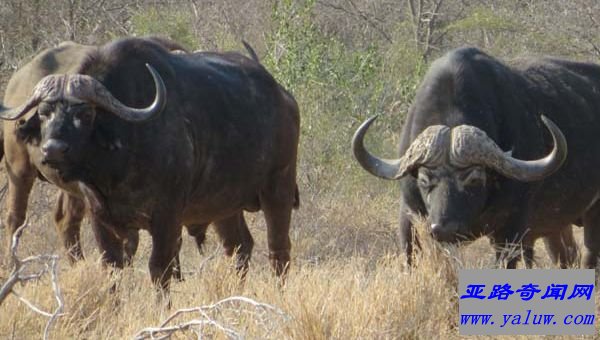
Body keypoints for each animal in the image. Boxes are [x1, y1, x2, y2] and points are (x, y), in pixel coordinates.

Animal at [0, 37, 300, 292]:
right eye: (44, 112)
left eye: (85, 114)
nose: (52, 149)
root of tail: (284, 98)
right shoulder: (100, 217)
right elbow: (111, 267)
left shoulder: (167, 216)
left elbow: (159, 268)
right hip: (224, 204)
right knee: (239, 247)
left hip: (278, 188)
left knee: (278, 249)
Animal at [352, 47, 596, 268]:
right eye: (423, 180)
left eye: (474, 179)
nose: (444, 229)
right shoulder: (409, 216)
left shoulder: (511, 230)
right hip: (556, 225)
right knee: (565, 257)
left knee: (589, 258)